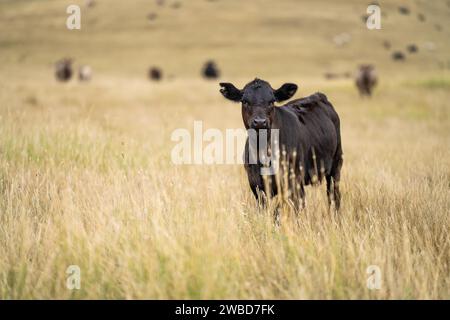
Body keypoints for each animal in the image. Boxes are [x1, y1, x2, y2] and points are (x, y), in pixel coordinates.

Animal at [220, 78, 342, 212]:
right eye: (245, 101)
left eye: (271, 102)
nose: (260, 122)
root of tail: (319, 96)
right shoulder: (256, 185)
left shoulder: (290, 182)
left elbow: (277, 211)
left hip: (335, 164)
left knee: (333, 195)